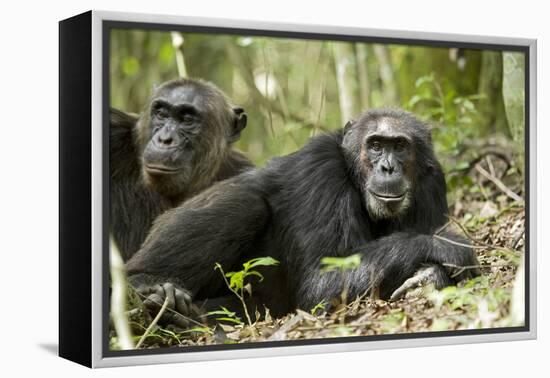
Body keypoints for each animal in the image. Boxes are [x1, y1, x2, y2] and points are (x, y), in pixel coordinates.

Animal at [124, 107, 478, 324]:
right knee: (246, 204)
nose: (387, 167)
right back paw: (151, 288)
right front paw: (449, 248)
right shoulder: (320, 169)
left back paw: (184, 316)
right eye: (376, 145)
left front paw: (431, 276)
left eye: (400, 146)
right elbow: (322, 281)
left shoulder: (433, 181)